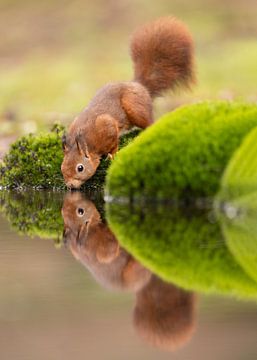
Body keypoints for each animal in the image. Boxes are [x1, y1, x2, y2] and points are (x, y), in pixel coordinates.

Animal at [61, 16, 194, 188]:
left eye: (80, 168)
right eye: (62, 168)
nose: (70, 186)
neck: (88, 142)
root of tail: (140, 87)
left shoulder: (107, 126)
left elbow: (113, 143)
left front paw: (112, 154)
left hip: (135, 108)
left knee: (149, 122)